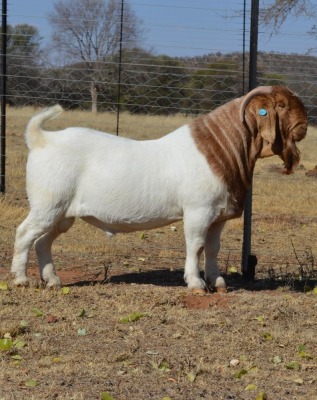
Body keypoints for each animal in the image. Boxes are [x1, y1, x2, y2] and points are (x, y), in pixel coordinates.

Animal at [11, 86, 304, 292]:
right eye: (280, 106)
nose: (303, 127)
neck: (220, 148)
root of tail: (42, 139)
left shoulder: (217, 217)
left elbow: (212, 248)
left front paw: (218, 282)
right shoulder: (198, 212)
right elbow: (195, 245)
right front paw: (196, 284)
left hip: (63, 214)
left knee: (43, 242)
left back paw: (53, 280)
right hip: (48, 205)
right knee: (24, 234)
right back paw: (21, 279)